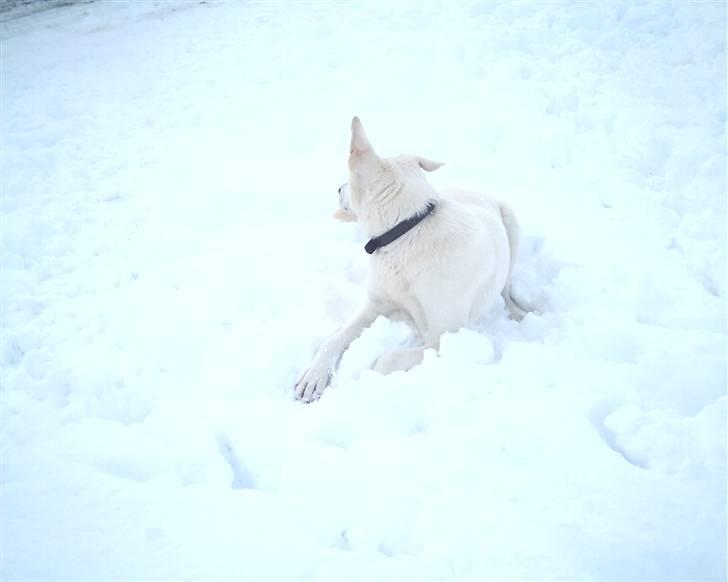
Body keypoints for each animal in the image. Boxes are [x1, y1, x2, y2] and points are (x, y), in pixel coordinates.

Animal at [292, 116, 528, 404]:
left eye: (348, 180)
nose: (338, 188)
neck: (407, 232)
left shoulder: (444, 337)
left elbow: (385, 359)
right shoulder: (373, 306)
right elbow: (333, 339)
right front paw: (313, 376)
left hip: (511, 223)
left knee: (506, 289)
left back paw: (517, 311)